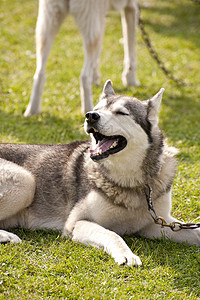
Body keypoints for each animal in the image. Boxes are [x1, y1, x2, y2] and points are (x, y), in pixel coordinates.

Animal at [0, 80, 199, 264]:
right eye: (96, 109)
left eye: (121, 113)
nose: (90, 116)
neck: (131, 180)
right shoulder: (77, 222)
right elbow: (112, 234)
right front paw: (127, 255)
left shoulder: (156, 224)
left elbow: (194, 230)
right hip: (26, 181)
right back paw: (6, 236)